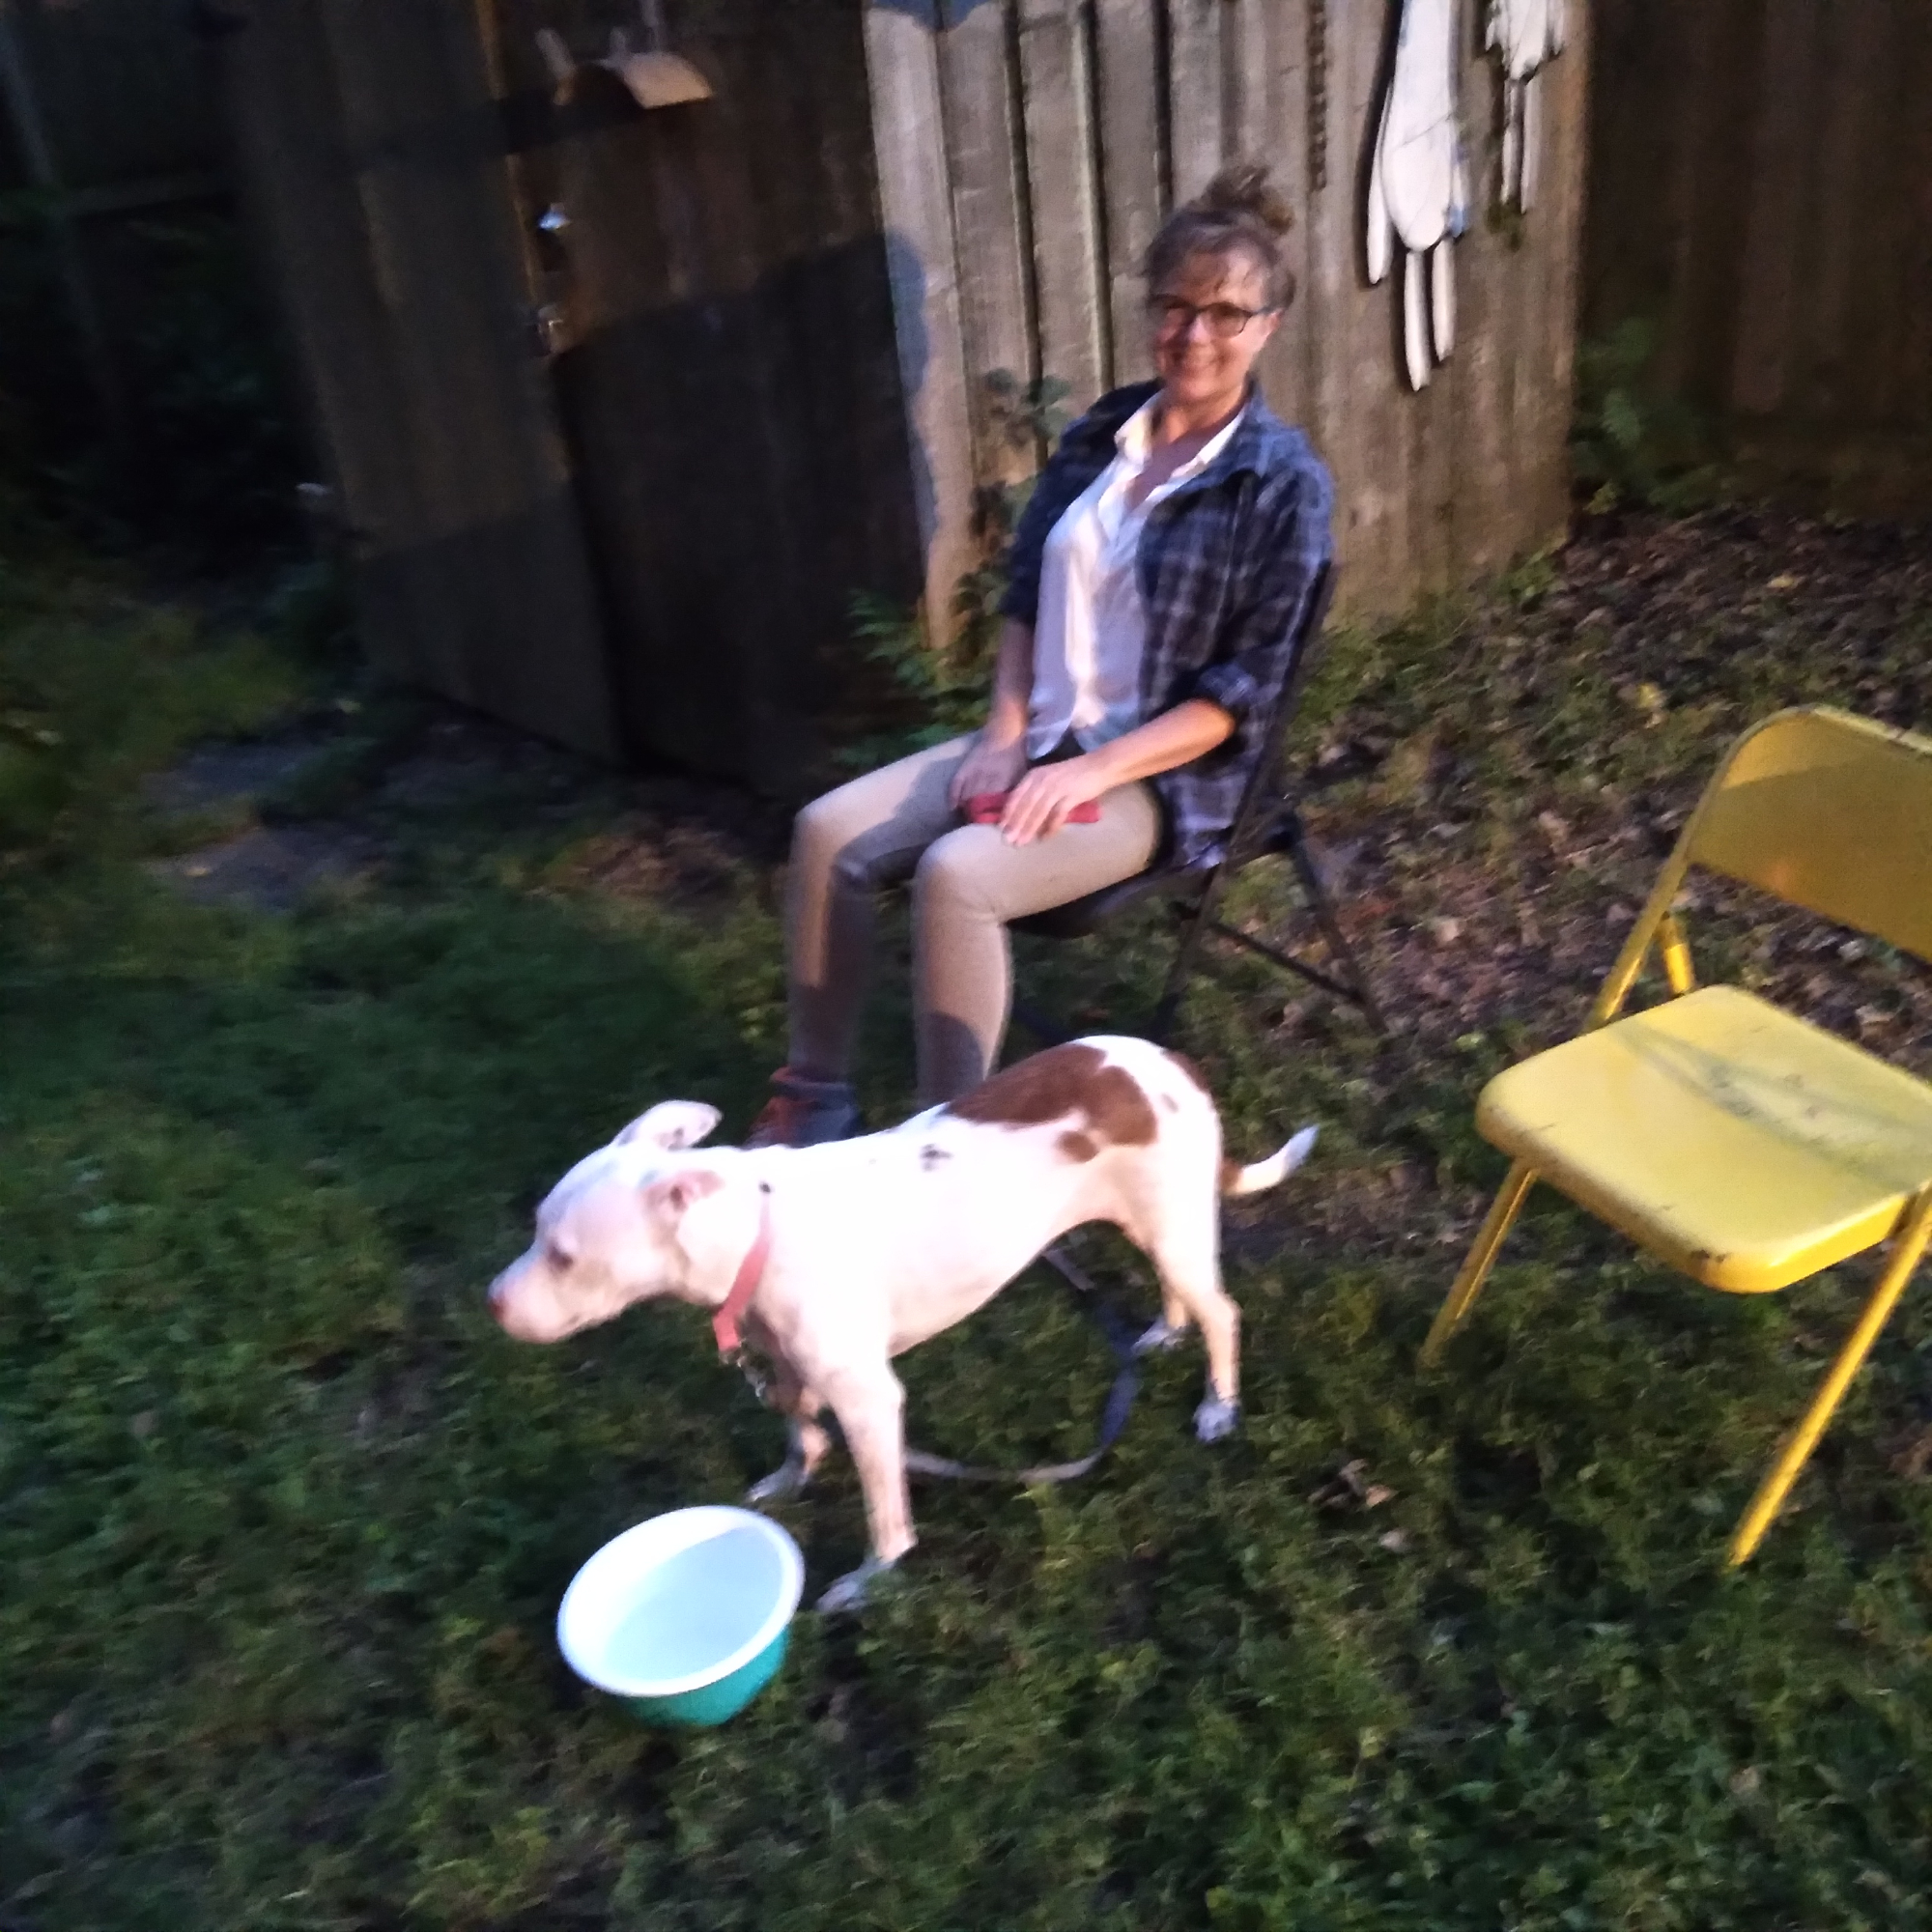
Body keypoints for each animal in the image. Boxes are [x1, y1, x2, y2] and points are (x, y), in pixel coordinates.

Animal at [491, 1036, 1321, 1607]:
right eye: (535, 1230)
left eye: (563, 1256)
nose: (492, 1301)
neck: (757, 1234)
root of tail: (1172, 1062)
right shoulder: (790, 1368)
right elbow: (799, 1434)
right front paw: (790, 1478)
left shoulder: (868, 1403)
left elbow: (885, 1519)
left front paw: (870, 1585)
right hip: (1152, 1225)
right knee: (1182, 1292)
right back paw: (1166, 1331)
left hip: (1174, 1228)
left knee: (1224, 1312)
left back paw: (1219, 1405)